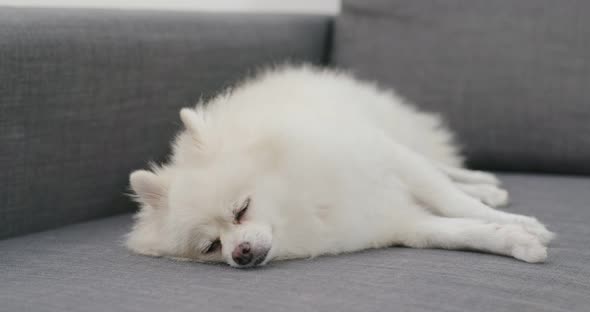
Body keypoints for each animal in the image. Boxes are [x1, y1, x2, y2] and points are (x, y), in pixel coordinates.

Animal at [128, 65, 556, 268]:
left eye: (241, 209)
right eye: (211, 247)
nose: (242, 254)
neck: (304, 199)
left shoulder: (390, 158)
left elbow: (453, 202)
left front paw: (522, 224)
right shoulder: (396, 222)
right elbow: (456, 232)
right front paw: (515, 240)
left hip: (396, 134)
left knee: (442, 167)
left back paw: (484, 183)